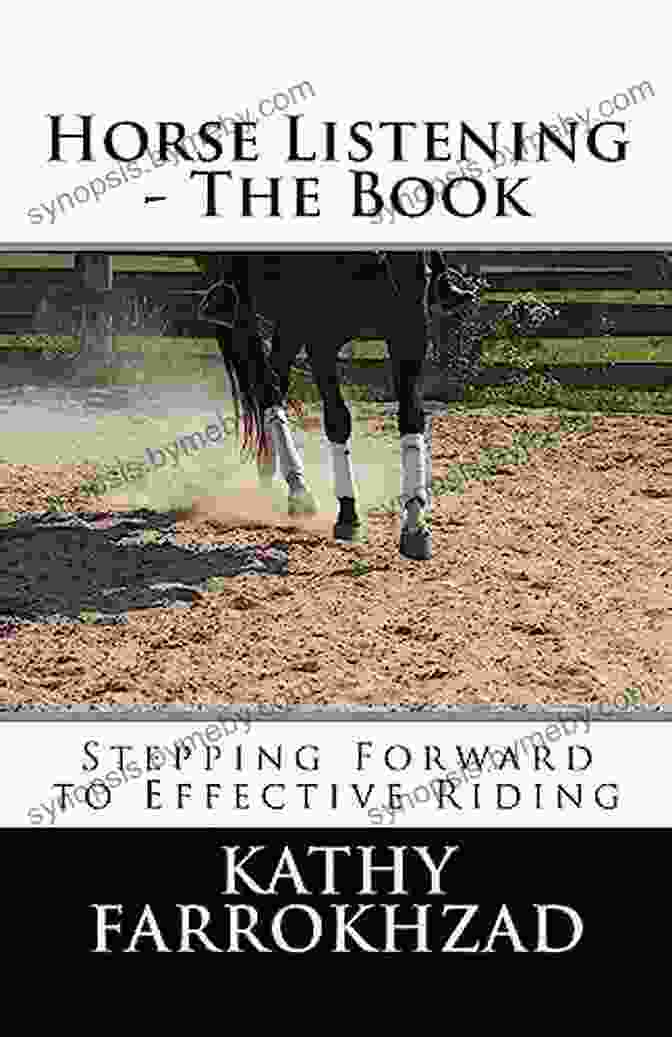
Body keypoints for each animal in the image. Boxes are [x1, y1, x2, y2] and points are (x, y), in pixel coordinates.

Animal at [193, 250, 472, 559]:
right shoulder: (320, 339)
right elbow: (338, 420)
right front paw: (348, 513)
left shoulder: (408, 330)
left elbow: (412, 416)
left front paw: (414, 522)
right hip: (252, 314)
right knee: (267, 389)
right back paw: (298, 488)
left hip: (289, 322)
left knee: (276, 380)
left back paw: (270, 467)